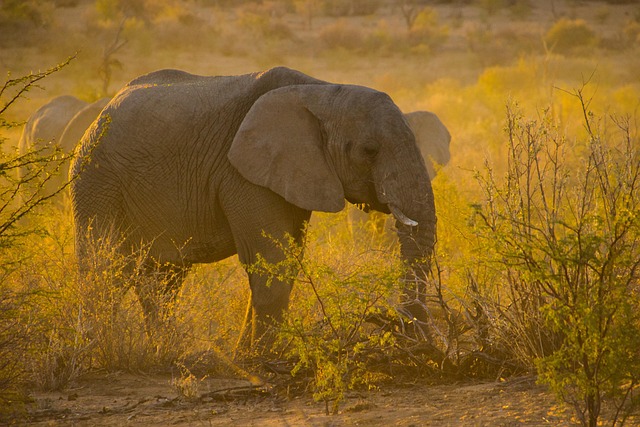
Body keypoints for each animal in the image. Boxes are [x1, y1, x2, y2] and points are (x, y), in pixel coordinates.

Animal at [70, 66, 437, 349]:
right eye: (369, 150)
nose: (411, 341)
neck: (322, 90)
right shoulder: (241, 173)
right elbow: (272, 260)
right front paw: (259, 359)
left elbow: (287, 259)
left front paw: (248, 356)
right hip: (95, 181)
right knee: (105, 271)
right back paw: (100, 354)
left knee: (161, 281)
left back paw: (169, 353)